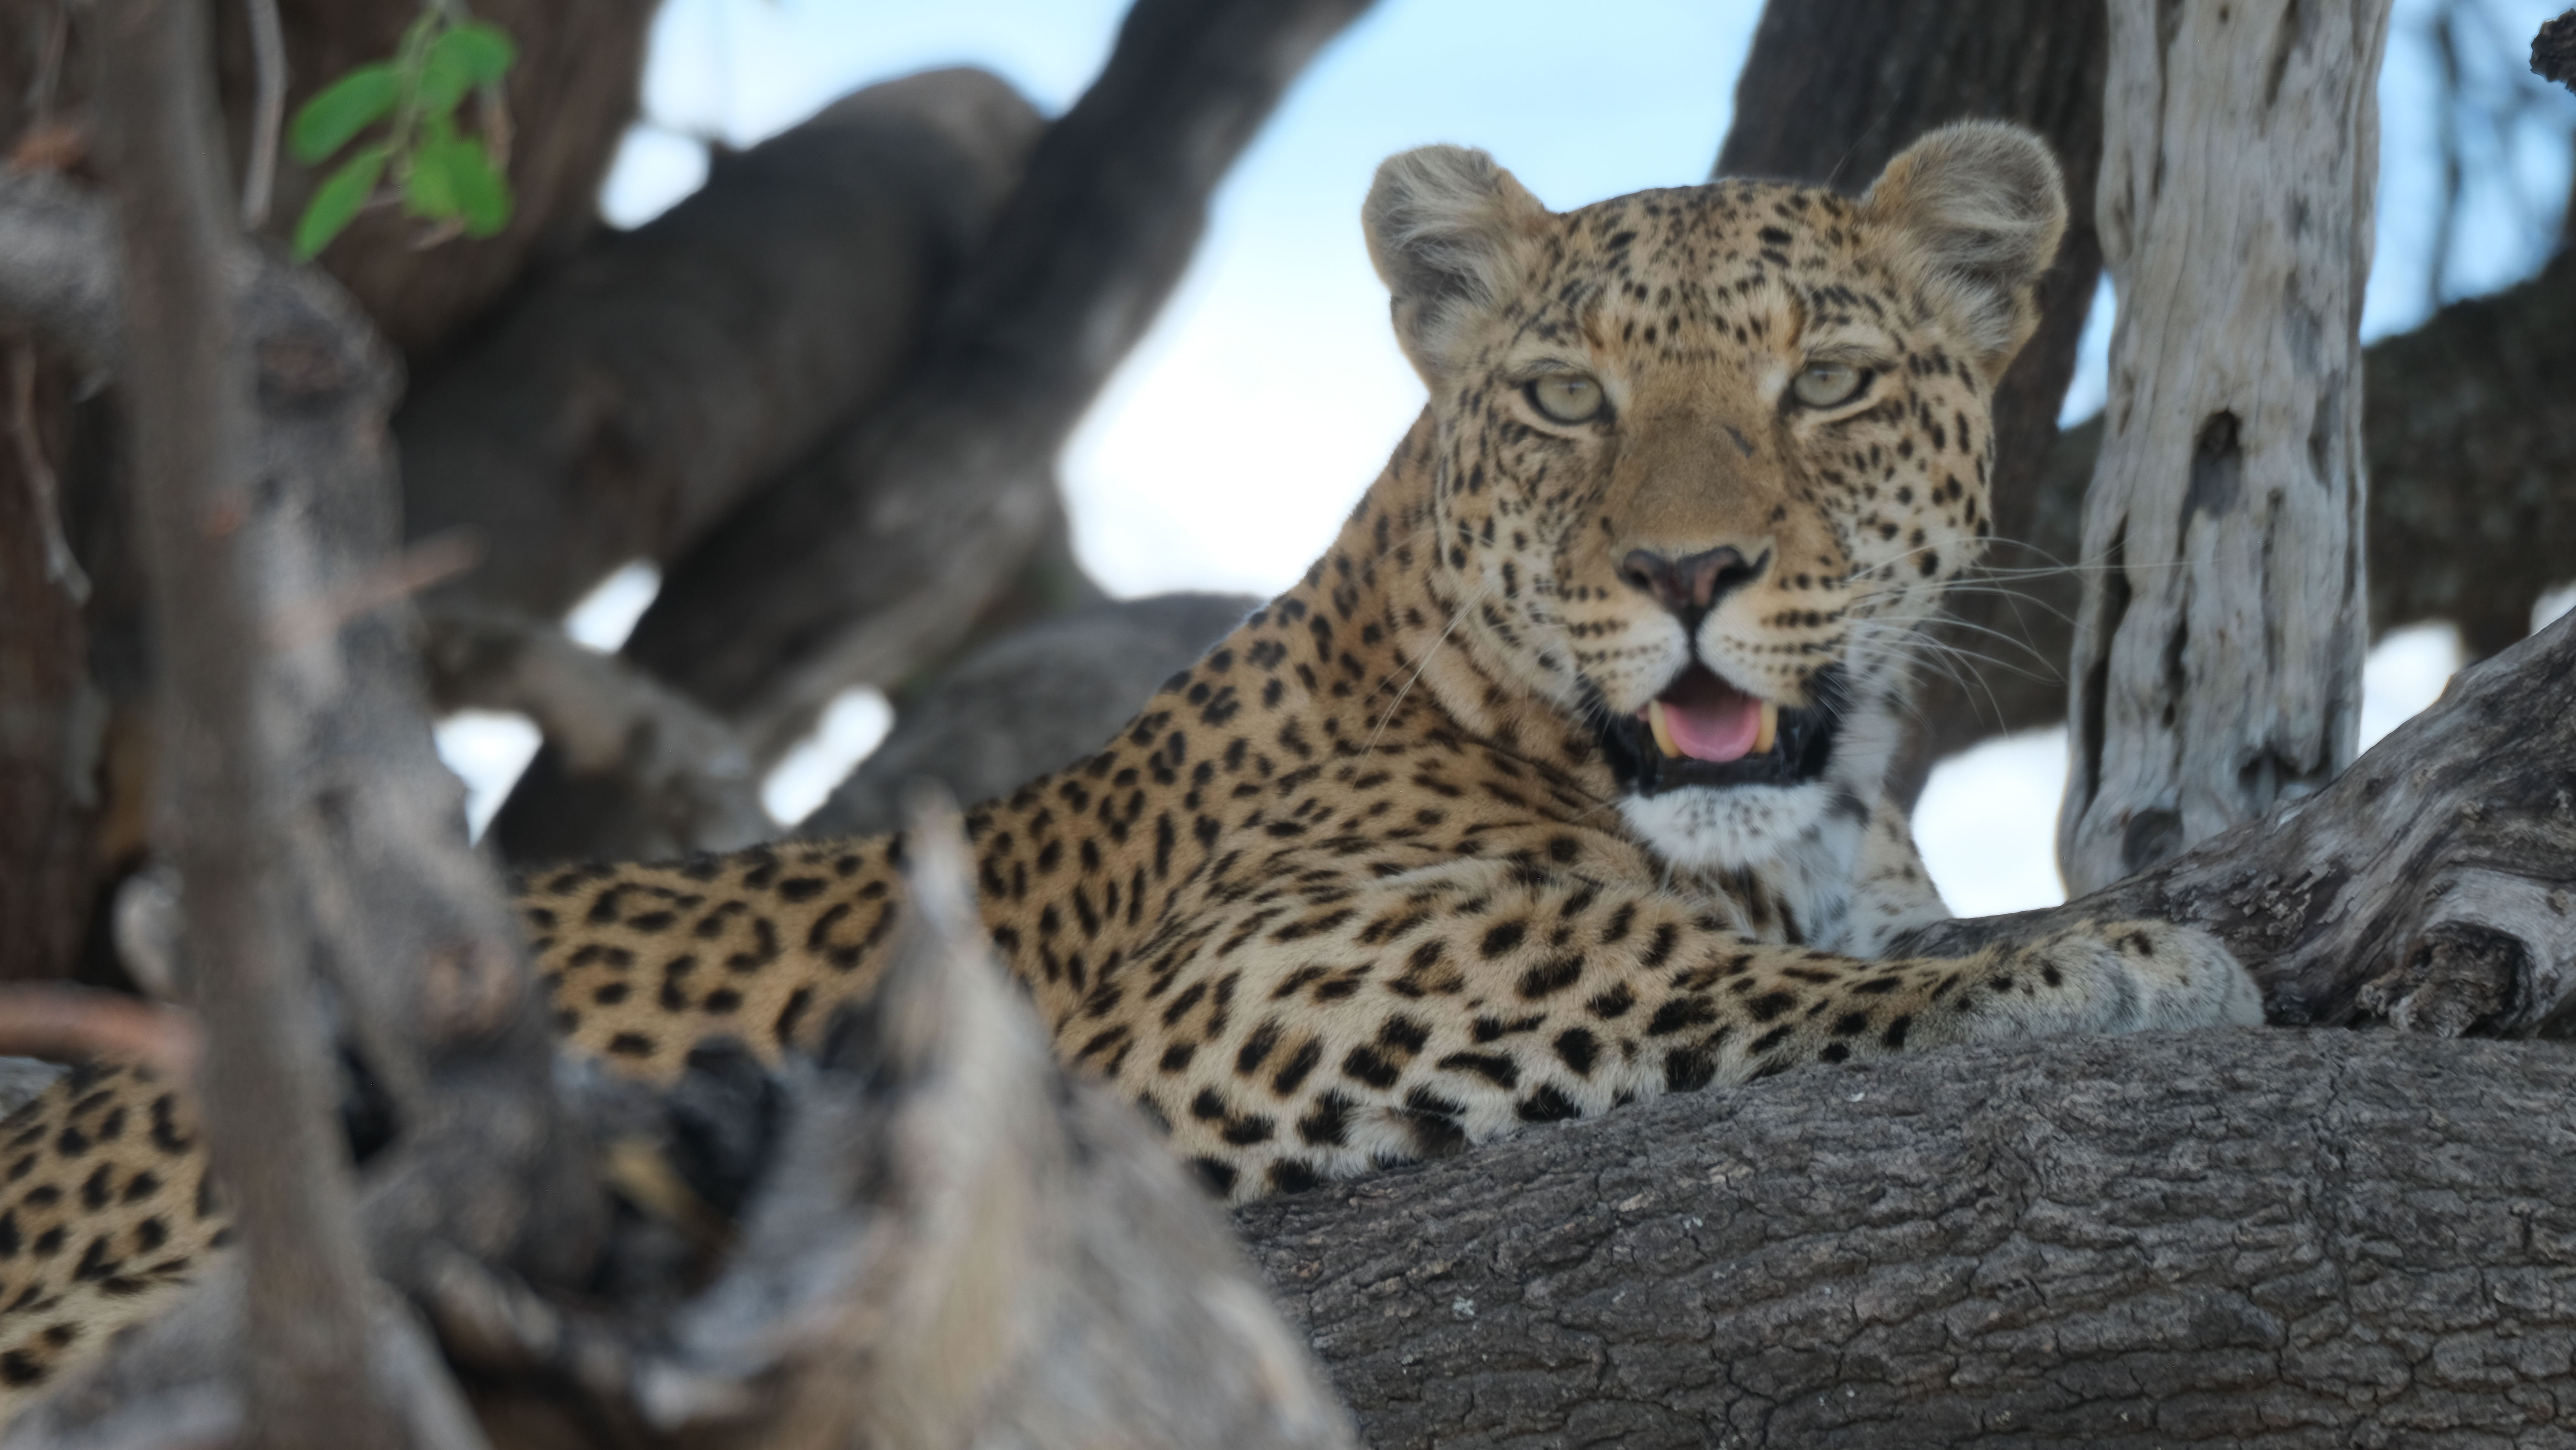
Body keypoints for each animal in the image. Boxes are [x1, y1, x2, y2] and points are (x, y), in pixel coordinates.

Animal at [0, 120, 2263, 1414]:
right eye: (1564, 400)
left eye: (1835, 381)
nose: (1686, 572)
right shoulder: (1243, 994)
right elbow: (1678, 966)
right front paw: (2098, 965)